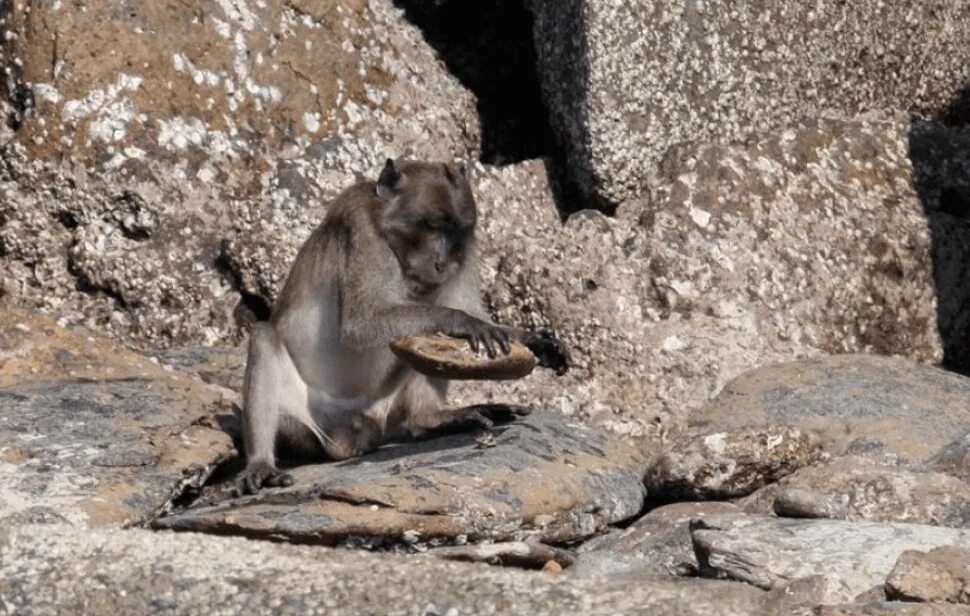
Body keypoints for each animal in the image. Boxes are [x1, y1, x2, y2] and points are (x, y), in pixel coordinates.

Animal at [236, 160, 568, 496]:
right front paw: (462, 322)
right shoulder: (360, 230)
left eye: (457, 230)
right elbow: (362, 323)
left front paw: (537, 342)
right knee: (264, 335)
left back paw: (433, 419)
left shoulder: (467, 251)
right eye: (432, 225)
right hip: (303, 422)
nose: (443, 262)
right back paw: (261, 463)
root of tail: (349, 436)